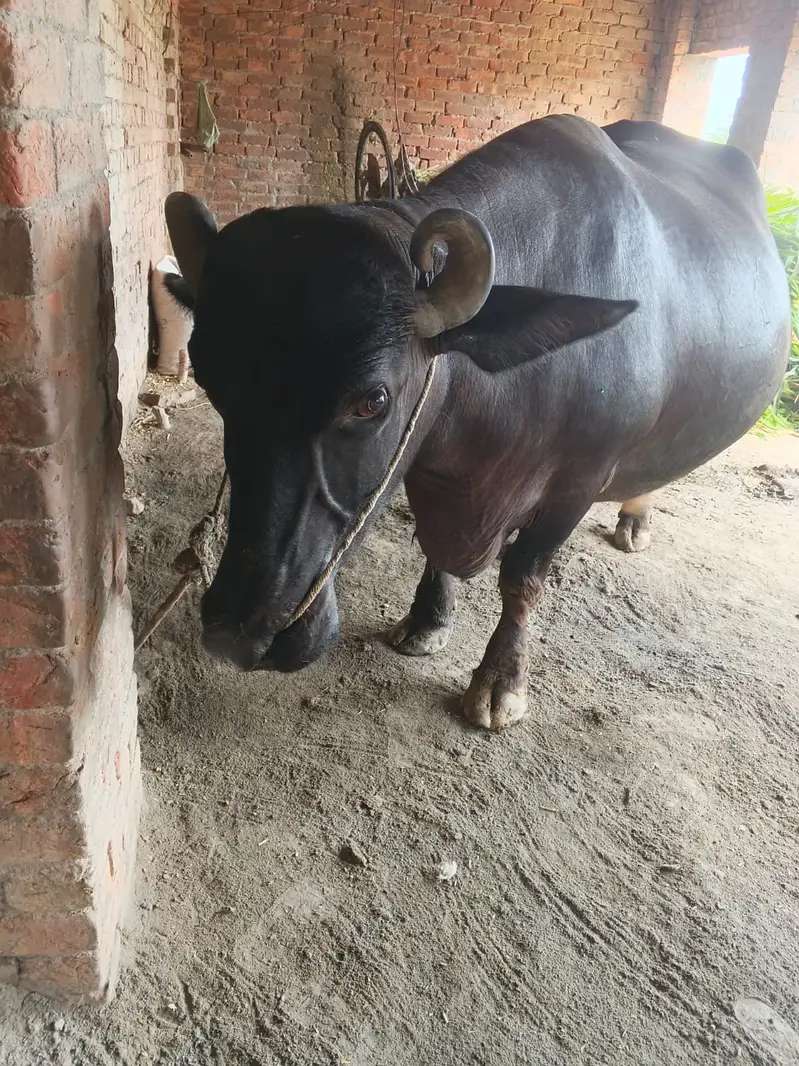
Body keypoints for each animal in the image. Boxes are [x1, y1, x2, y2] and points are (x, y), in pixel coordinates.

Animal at [163, 115, 790, 730]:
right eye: (211, 383)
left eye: (371, 400)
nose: (238, 634)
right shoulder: (430, 472)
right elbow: (431, 547)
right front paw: (427, 620)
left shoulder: (578, 485)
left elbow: (522, 579)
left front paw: (501, 680)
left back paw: (635, 518)